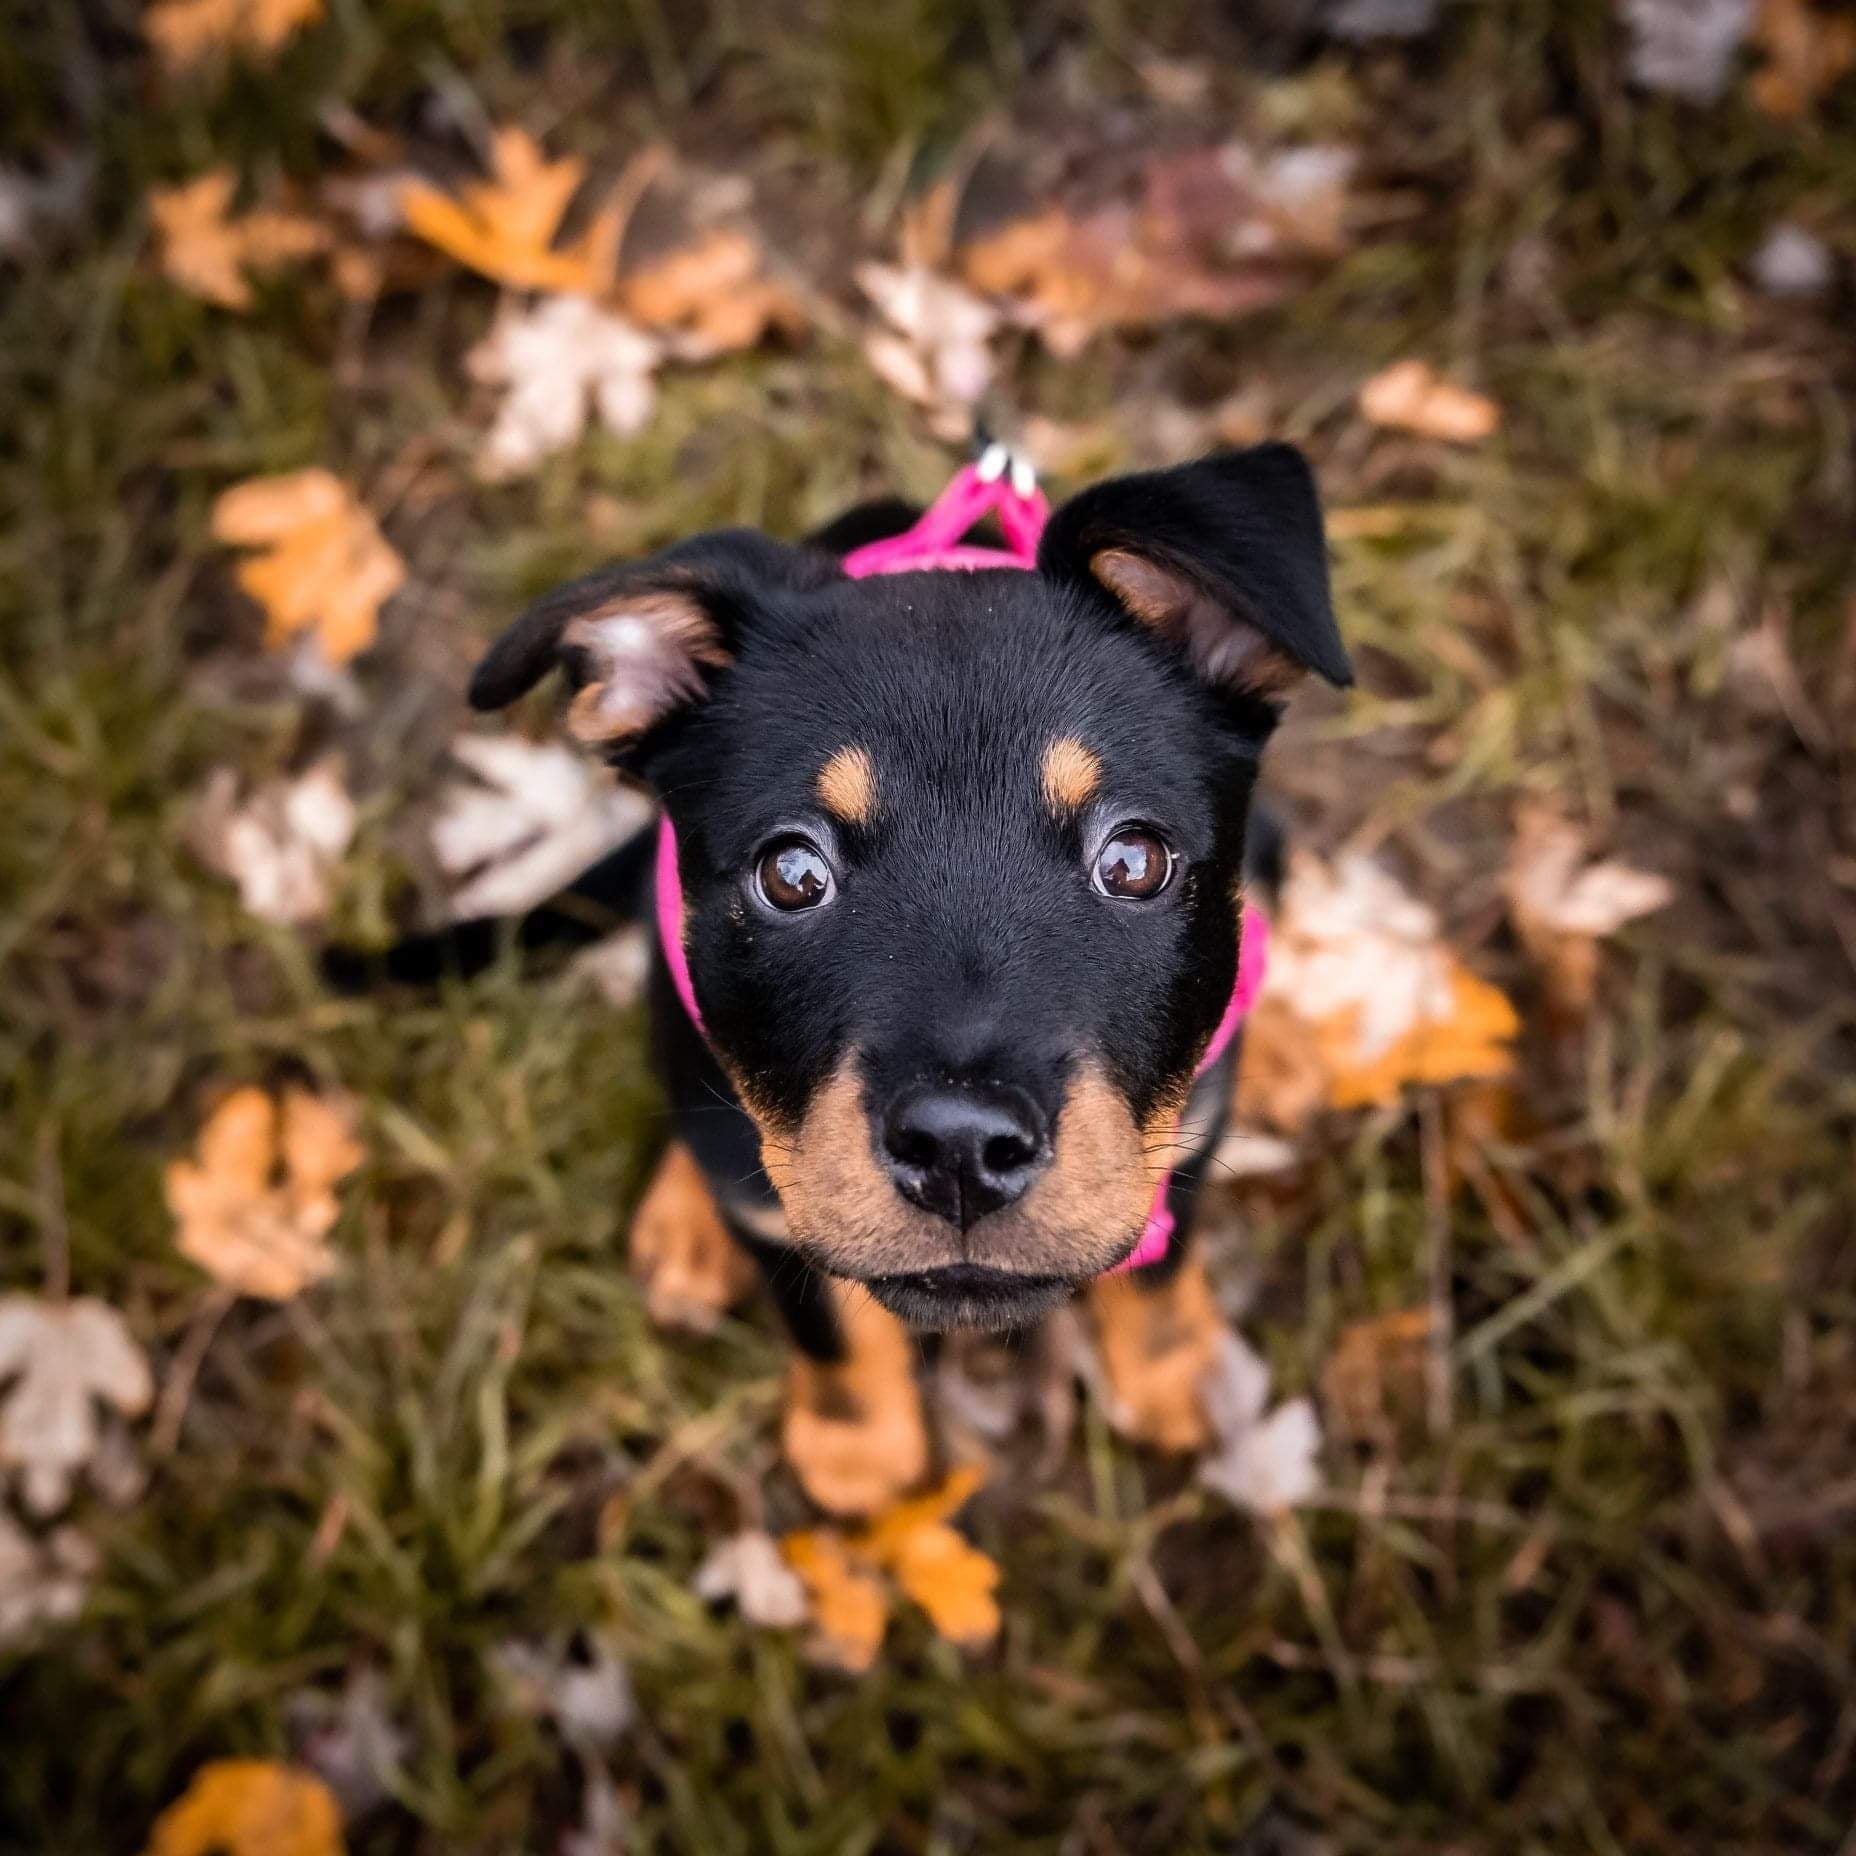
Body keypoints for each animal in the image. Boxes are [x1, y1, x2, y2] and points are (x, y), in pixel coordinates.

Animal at [464, 445, 1351, 1507]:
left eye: (1135, 860)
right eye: (792, 874)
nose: (960, 1148)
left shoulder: (1181, 1132)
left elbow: (1160, 1270)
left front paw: (1175, 1383)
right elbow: (825, 1323)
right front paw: (857, 1455)